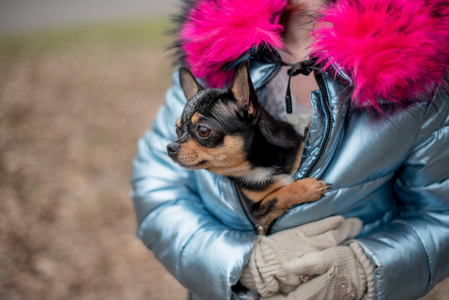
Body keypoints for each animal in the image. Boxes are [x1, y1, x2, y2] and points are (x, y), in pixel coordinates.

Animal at [166, 61, 328, 234]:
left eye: (203, 131)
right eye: (177, 130)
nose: (170, 147)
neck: (260, 162)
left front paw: (309, 129)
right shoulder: (258, 216)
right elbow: (279, 195)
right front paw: (308, 188)